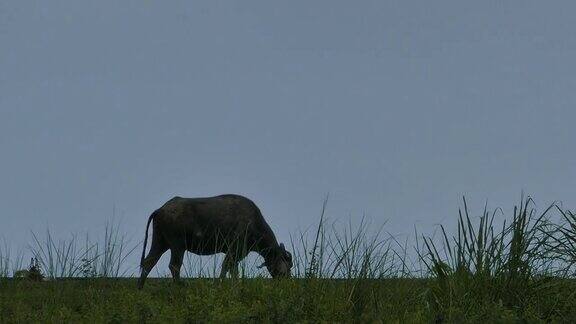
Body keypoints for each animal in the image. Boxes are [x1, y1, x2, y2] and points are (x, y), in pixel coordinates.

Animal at [138, 194, 292, 288]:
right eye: (288, 265)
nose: (287, 280)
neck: (252, 222)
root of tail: (160, 209)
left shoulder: (236, 255)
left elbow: (233, 270)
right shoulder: (233, 251)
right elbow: (225, 268)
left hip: (160, 242)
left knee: (148, 262)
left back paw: (140, 287)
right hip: (177, 245)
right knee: (174, 266)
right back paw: (179, 285)